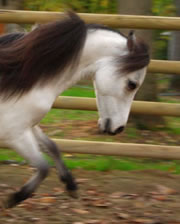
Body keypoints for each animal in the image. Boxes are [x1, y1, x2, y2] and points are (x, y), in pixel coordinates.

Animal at [0, 12, 150, 208]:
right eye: (132, 84)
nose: (119, 129)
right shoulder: (14, 134)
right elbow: (43, 167)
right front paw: (15, 198)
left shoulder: (28, 126)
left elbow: (53, 147)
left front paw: (71, 185)